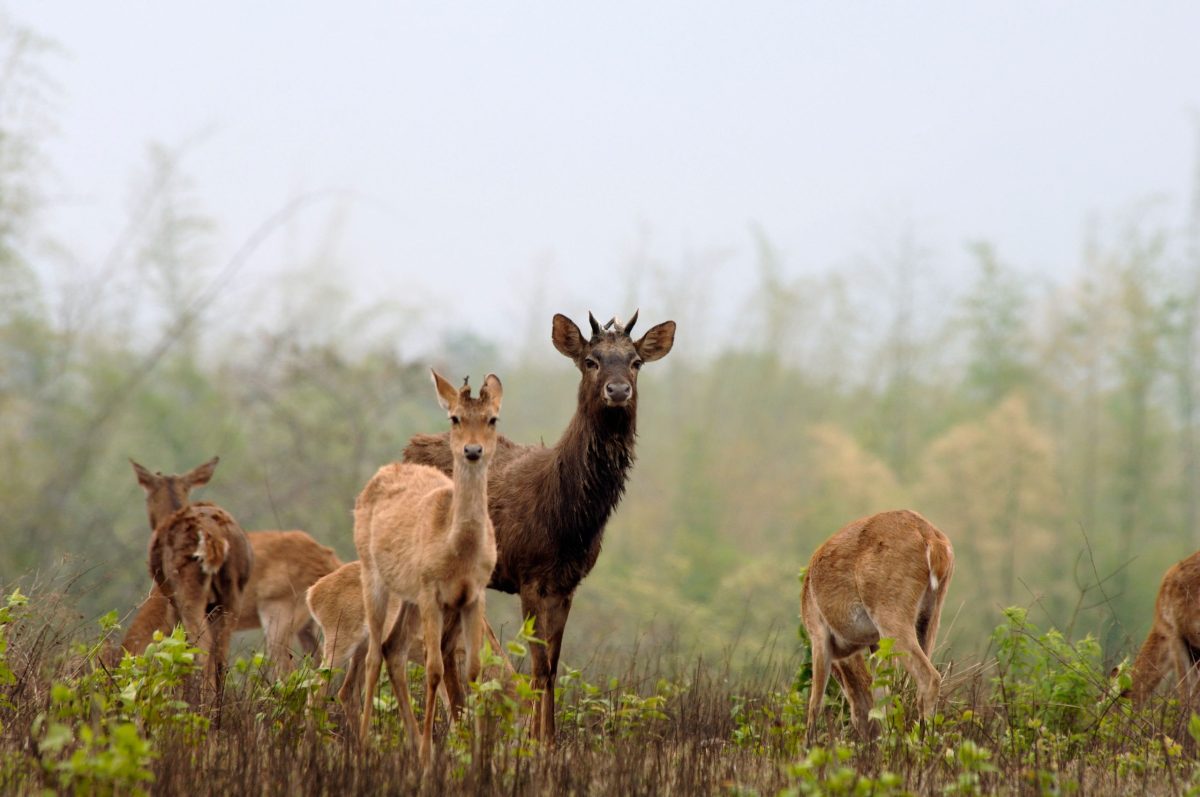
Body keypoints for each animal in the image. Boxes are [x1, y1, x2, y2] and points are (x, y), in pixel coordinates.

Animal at [131, 456, 253, 692]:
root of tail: (214, 536)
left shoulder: (171, 602)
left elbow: (178, 646)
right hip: (233, 594)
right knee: (221, 654)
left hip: (189, 590)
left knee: (202, 647)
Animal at [355, 370, 502, 765]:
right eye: (454, 418)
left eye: (492, 419)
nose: (472, 451)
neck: (457, 551)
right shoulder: (431, 591)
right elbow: (435, 669)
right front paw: (426, 754)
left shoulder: (474, 595)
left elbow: (474, 671)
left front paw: (475, 754)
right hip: (373, 575)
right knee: (373, 654)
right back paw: (364, 740)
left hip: (408, 597)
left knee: (393, 649)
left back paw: (406, 738)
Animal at [403, 311, 675, 743]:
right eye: (591, 360)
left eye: (636, 362)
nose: (617, 390)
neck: (568, 525)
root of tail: (407, 447)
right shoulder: (528, 576)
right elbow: (538, 664)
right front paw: (534, 740)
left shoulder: (567, 583)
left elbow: (553, 666)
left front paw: (550, 739)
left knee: (444, 648)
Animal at [800, 509, 954, 744]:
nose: (867, 738)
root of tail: (933, 540)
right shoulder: (875, 643)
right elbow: (882, 695)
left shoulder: (818, 633)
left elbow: (814, 703)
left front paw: (806, 747)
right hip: (930, 616)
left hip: (889, 612)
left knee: (929, 678)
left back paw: (922, 744)